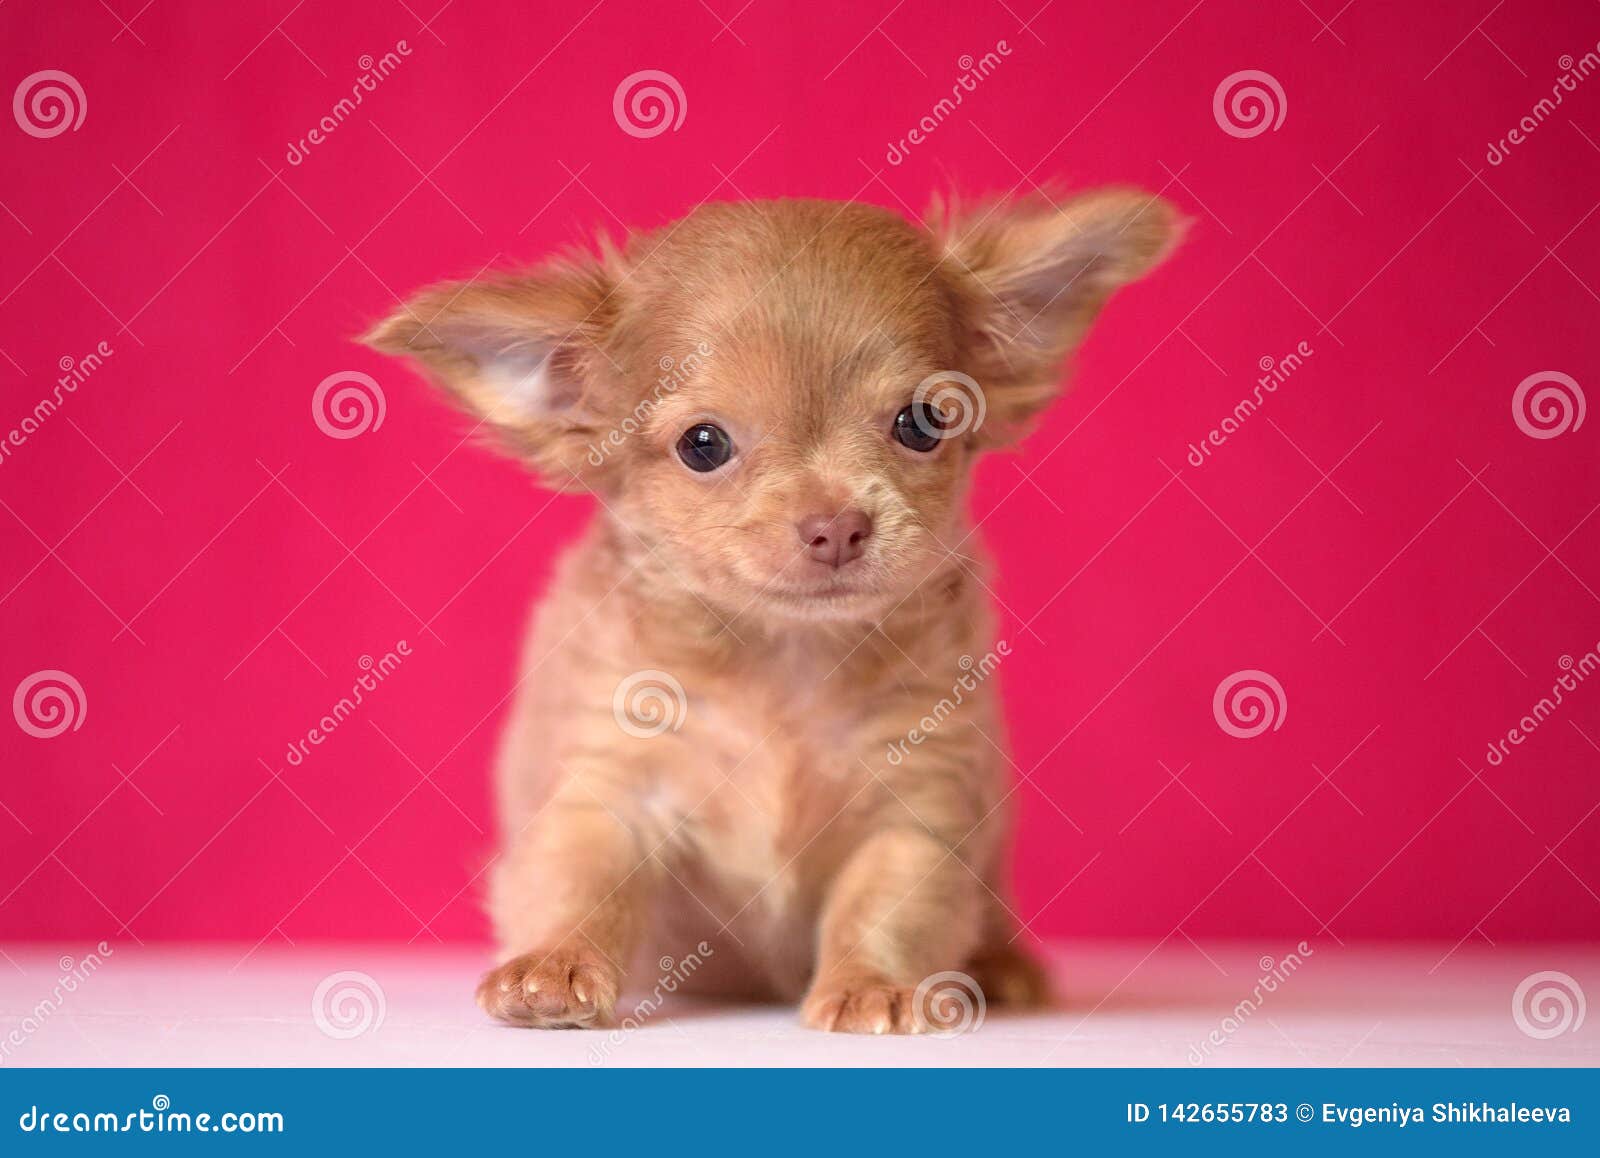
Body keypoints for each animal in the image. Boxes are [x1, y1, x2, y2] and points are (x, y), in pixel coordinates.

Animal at [368, 190, 1184, 1030]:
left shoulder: (918, 803)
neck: (786, 656)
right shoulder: (611, 783)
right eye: (703, 444)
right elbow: (581, 876)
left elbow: (887, 903)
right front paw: (553, 967)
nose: (837, 525)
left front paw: (870, 984)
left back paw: (1000, 965)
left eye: (923, 423)